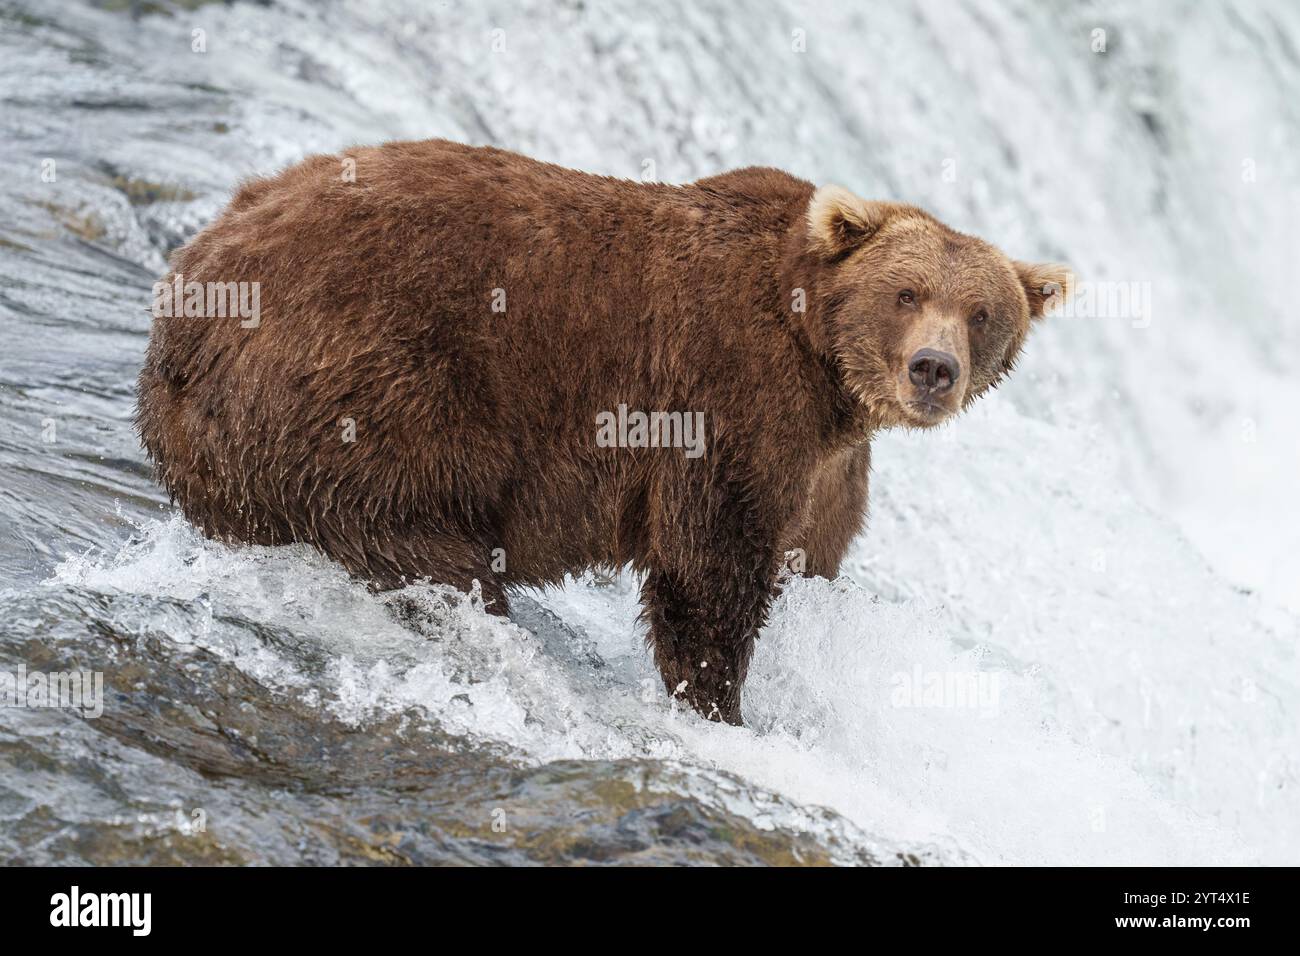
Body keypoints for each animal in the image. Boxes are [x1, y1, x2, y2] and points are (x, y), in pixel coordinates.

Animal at [136, 140, 1069, 725]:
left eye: (982, 313)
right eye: (907, 293)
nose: (933, 370)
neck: (823, 363)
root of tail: (187, 289)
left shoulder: (829, 462)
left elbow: (810, 556)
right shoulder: (728, 394)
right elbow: (709, 569)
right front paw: (719, 703)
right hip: (369, 386)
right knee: (424, 541)